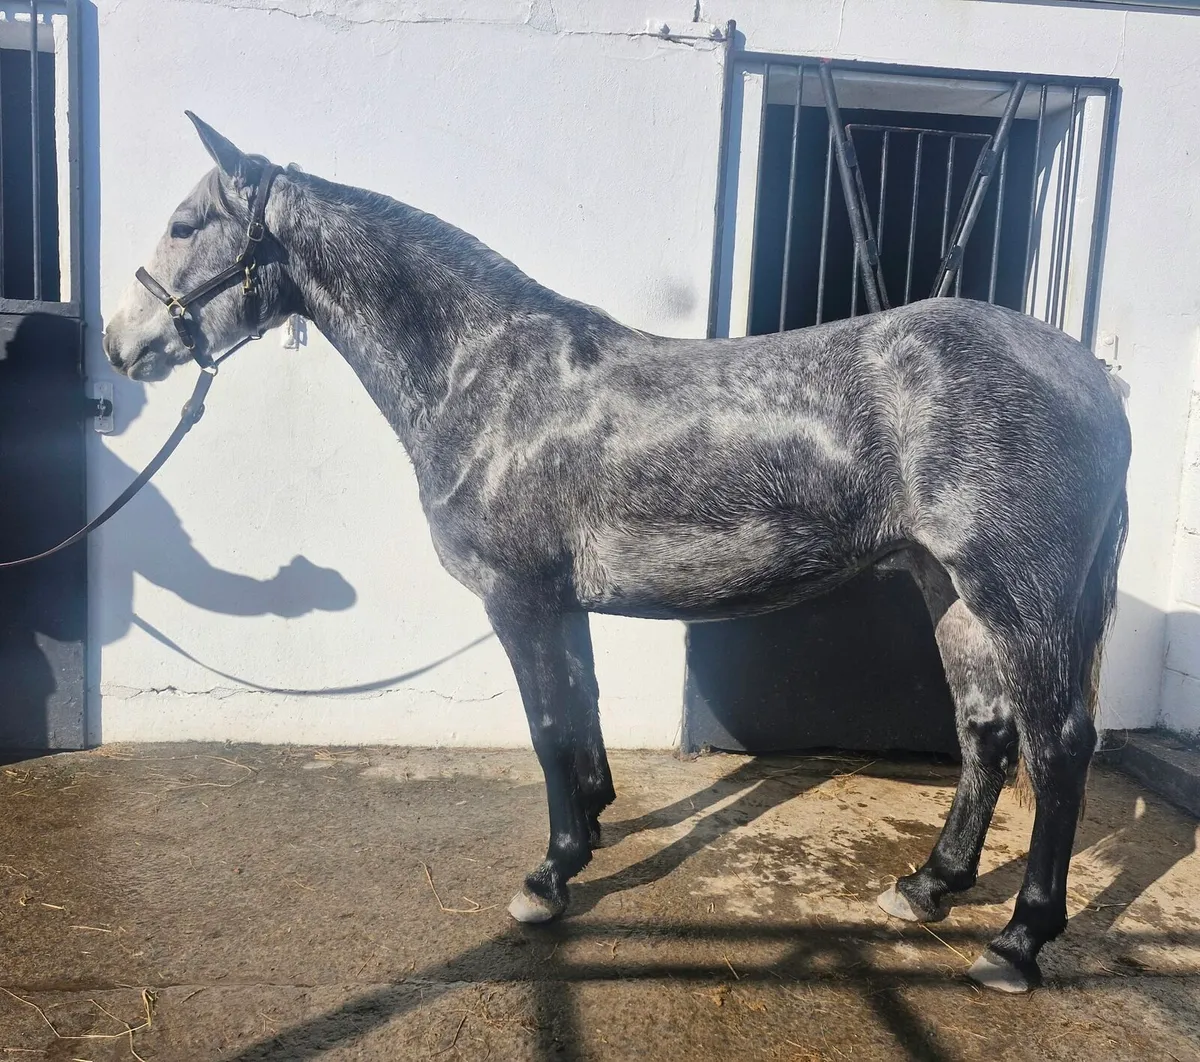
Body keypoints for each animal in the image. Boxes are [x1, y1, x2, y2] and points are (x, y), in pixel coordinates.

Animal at [102, 113, 1131, 994]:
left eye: (185, 223)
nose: (120, 343)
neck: (487, 377)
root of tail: (1093, 377)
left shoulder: (518, 597)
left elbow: (549, 727)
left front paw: (549, 879)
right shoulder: (562, 603)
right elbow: (582, 719)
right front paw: (592, 827)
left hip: (1018, 596)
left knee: (1058, 744)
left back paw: (1017, 942)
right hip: (946, 587)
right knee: (987, 733)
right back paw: (927, 887)